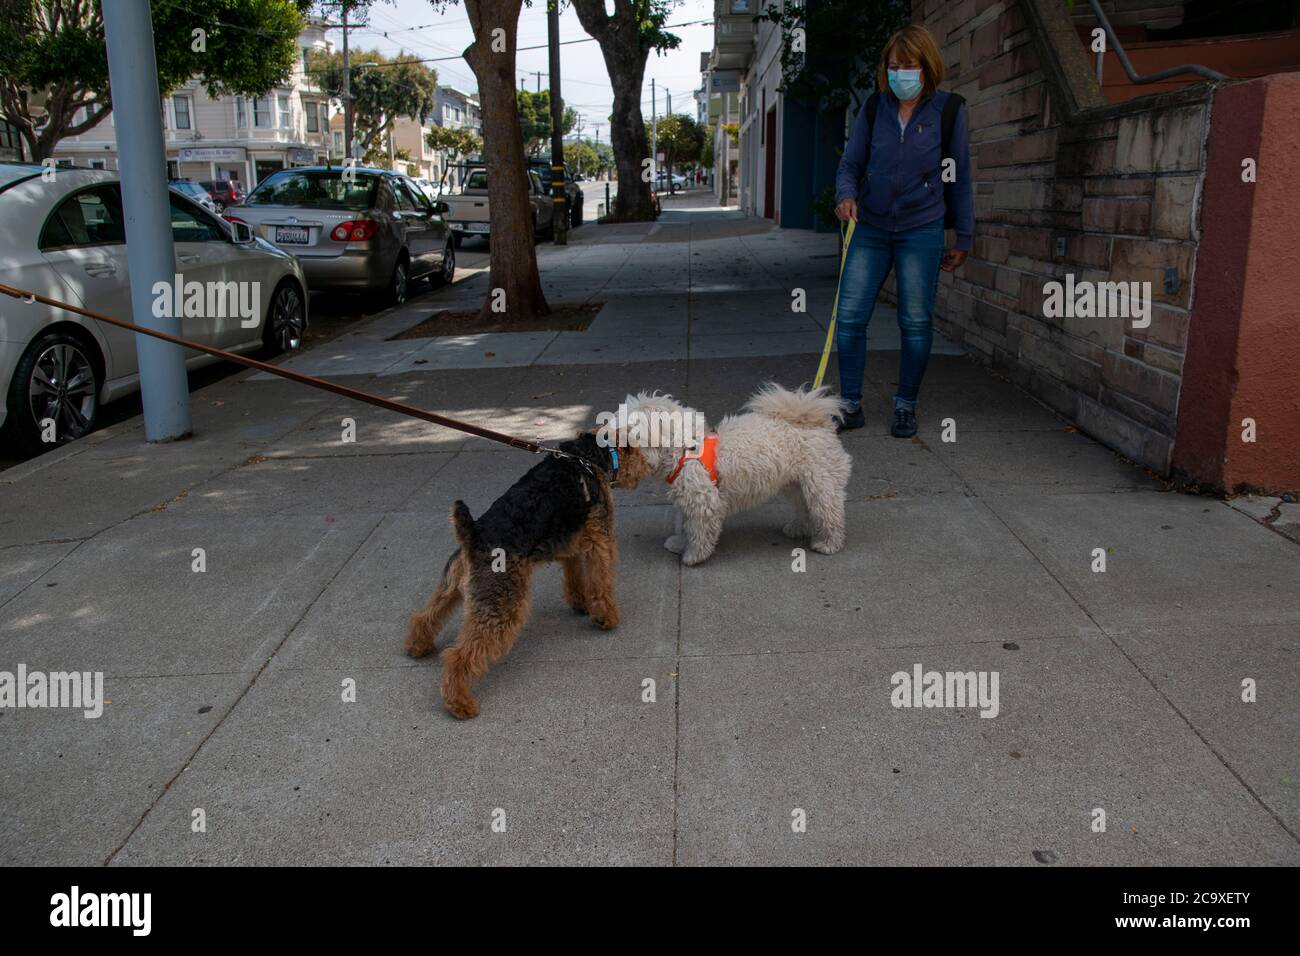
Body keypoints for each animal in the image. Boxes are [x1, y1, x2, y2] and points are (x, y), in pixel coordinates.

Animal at [618, 385, 852, 564]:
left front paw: (693, 556)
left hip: (821, 484)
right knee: (804, 507)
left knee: (830, 513)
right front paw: (679, 544)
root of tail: (817, 422)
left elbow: (698, 531)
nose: (614, 440)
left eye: (630, 428)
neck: (685, 449)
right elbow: (683, 525)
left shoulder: (704, 502)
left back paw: (829, 543)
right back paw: (797, 528)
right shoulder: (689, 500)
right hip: (796, 485)